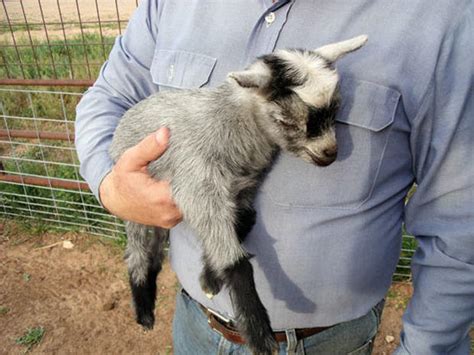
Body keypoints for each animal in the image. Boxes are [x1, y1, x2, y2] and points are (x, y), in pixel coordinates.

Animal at [109, 35, 368, 354]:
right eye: (286, 121)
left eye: (336, 111)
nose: (330, 153)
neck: (233, 124)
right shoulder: (196, 182)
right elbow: (236, 261)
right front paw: (258, 333)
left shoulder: (243, 187)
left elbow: (244, 221)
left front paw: (209, 277)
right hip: (137, 200)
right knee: (137, 252)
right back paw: (144, 309)